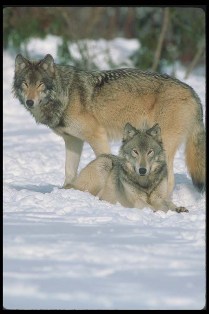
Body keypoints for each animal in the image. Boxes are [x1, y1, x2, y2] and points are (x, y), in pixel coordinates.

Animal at [12, 53, 205, 194]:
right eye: (25, 84)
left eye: (40, 84)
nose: (30, 102)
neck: (66, 95)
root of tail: (193, 92)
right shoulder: (73, 141)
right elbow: (69, 171)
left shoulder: (97, 135)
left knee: (169, 179)